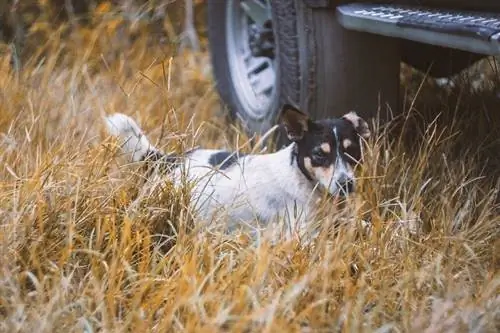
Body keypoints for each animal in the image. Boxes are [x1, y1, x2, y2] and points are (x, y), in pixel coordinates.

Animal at [104, 105, 372, 237]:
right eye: (319, 155)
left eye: (352, 152)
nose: (346, 184)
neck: (300, 176)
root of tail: (167, 160)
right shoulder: (300, 233)